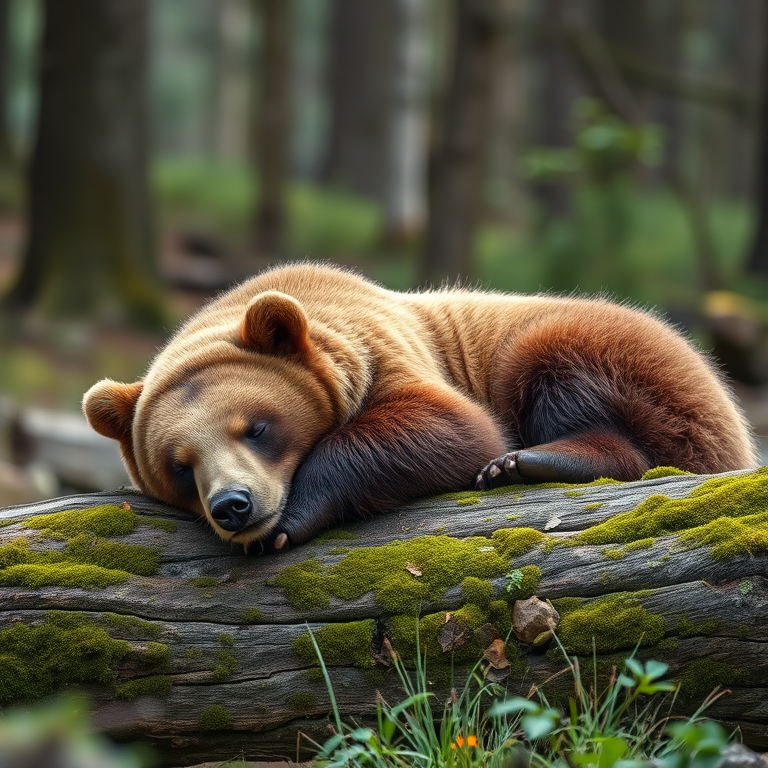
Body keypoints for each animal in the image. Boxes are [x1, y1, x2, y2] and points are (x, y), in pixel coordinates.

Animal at [83, 262, 757, 552]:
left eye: (256, 428)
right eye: (180, 464)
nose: (233, 505)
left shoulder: (390, 351)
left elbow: (449, 428)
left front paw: (292, 519)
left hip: (613, 355)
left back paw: (531, 461)